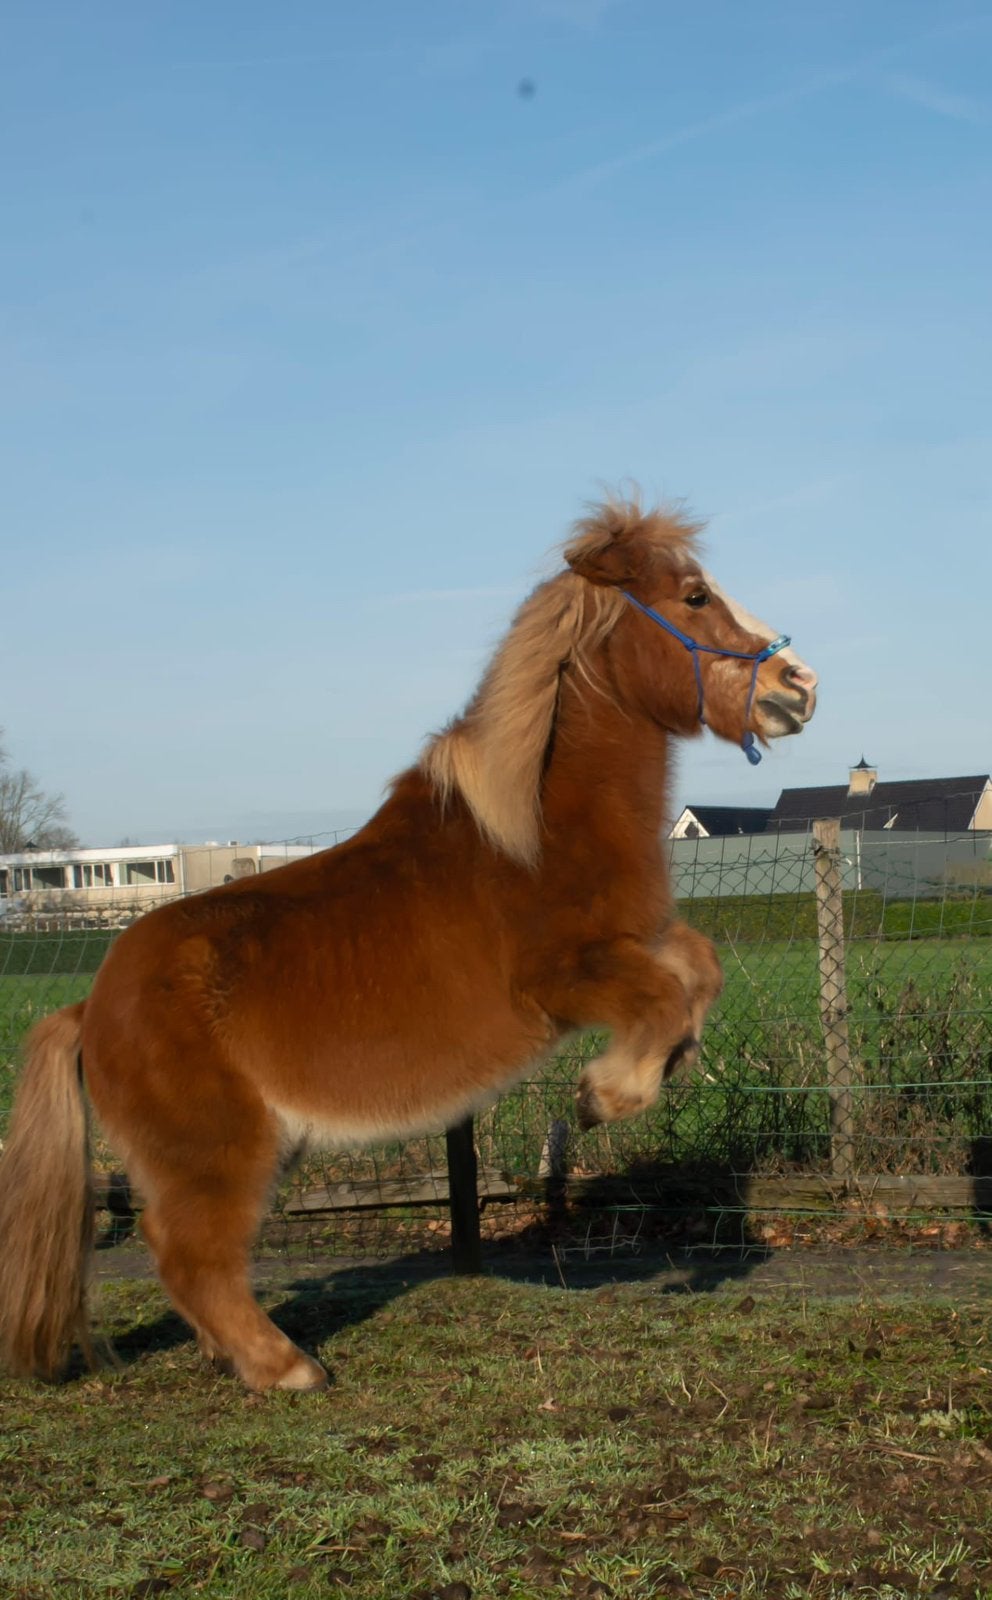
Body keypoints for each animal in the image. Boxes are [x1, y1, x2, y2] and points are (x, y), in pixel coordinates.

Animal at [0, 496, 817, 1392]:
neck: (529, 838)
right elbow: (665, 995)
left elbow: (699, 968)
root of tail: (86, 1008)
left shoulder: (638, 940)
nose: (800, 686)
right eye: (696, 597)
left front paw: (664, 1065)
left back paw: (236, 1357)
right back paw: (286, 1367)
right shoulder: (564, 978)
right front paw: (602, 1096)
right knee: (190, 1256)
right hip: (215, 1157)